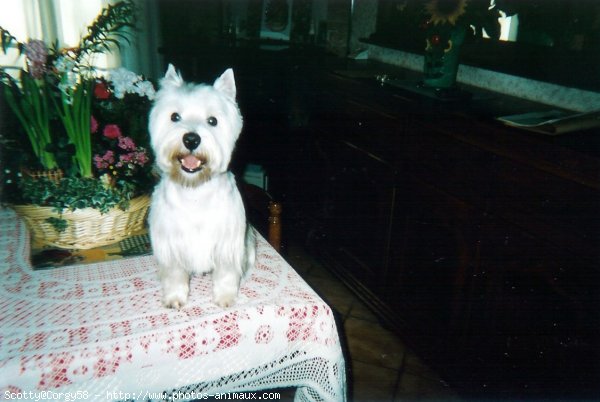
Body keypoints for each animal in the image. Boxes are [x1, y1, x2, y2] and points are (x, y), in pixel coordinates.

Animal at [150, 64, 255, 308]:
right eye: (175, 116)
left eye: (213, 121)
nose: (191, 139)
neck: (194, 190)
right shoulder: (170, 245)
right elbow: (174, 274)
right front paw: (174, 298)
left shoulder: (227, 243)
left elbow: (226, 273)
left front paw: (225, 298)